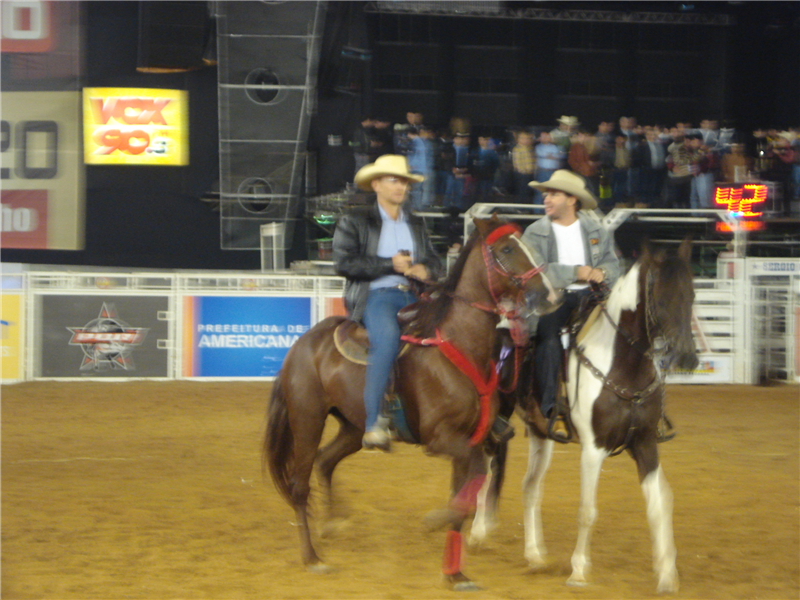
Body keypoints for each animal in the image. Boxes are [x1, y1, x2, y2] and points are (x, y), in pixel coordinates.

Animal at [266, 217, 560, 592]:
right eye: (507, 249)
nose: (550, 295)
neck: (459, 346)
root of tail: (301, 346)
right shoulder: (442, 440)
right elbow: (473, 483)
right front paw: (436, 521)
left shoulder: (469, 440)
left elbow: (464, 495)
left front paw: (455, 573)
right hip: (307, 420)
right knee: (298, 485)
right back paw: (312, 558)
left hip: (352, 427)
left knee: (326, 460)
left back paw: (331, 524)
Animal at [472, 239, 696, 596]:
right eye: (660, 297)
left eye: (691, 295)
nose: (688, 356)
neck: (622, 364)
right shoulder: (593, 448)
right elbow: (587, 510)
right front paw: (578, 571)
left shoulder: (645, 443)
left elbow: (659, 504)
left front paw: (666, 573)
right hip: (496, 418)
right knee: (487, 466)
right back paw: (478, 534)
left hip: (540, 433)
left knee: (530, 486)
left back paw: (535, 555)